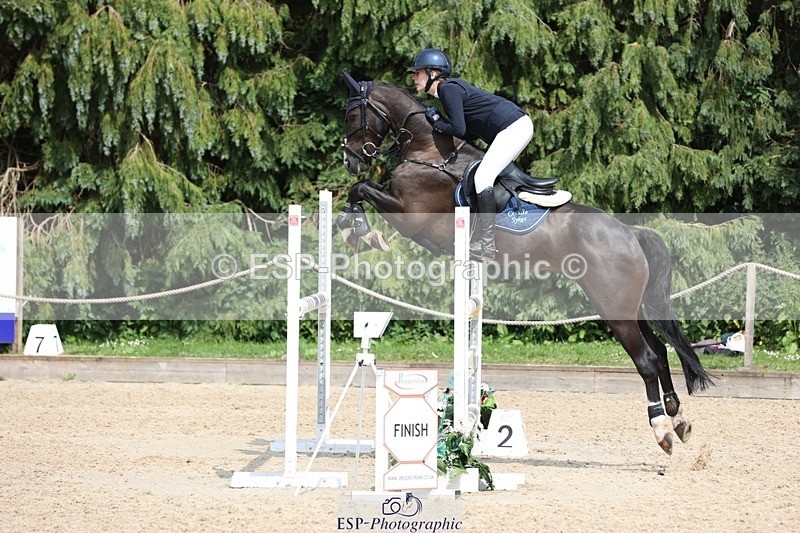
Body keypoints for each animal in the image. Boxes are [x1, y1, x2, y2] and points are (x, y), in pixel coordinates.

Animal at [336, 72, 713, 455]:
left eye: (352, 115)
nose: (350, 160)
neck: (428, 151)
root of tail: (631, 233)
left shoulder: (409, 214)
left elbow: (361, 189)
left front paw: (358, 230)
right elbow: (363, 188)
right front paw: (356, 228)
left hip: (615, 309)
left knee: (647, 360)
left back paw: (661, 429)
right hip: (631, 308)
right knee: (661, 351)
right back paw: (678, 417)